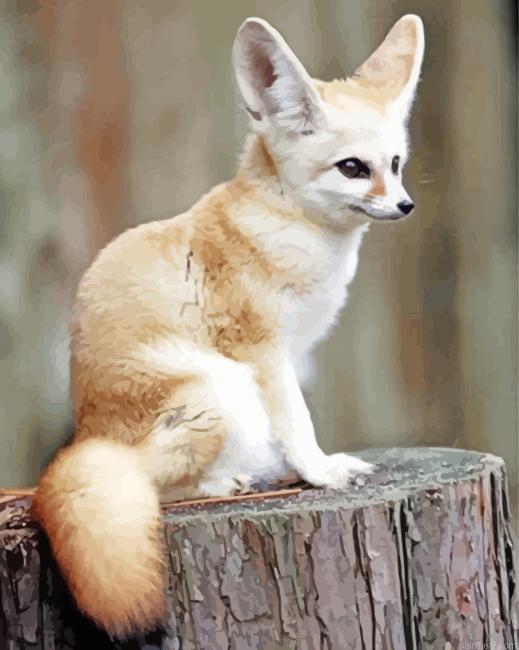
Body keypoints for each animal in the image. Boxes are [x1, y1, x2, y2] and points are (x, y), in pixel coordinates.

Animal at [33, 14, 424, 637]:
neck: (283, 225)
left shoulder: (295, 352)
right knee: (157, 488)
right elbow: (297, 422)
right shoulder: (262, 351)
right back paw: (223, 484)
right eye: (352, 168)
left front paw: (304, 468)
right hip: (219, 393)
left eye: (395, 165)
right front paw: (319, 472)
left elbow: (294, 424)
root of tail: (79, 444)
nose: (406, 206)